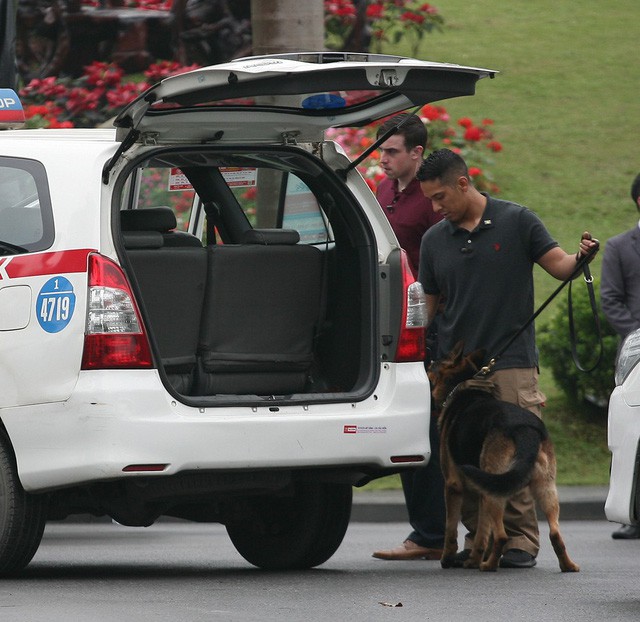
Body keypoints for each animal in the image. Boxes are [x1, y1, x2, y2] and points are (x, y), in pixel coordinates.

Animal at [428, 344, 584, 572]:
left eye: (434, 364)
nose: (427, 361)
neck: (461, 388)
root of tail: (524, 429)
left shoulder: (453, 485)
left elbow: (452, 529)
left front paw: (448, 559)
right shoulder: (482, 489)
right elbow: (482, 534)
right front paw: (473, 560)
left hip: (496, 491)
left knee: (502, 536)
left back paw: (489, 565)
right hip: (543, 489)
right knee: (555, 533)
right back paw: (568, 565)